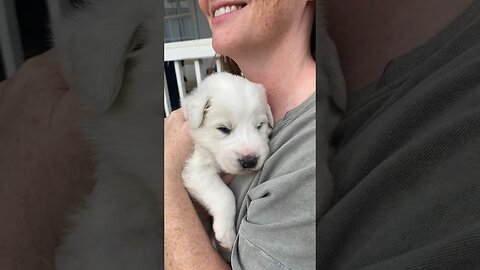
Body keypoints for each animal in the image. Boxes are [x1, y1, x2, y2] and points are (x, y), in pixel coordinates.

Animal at [181, 73, 272, 250]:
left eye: (259, 126)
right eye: (223, 129)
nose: (249, 161)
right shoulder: (196, 170)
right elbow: (225, 195)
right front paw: (227, 233)